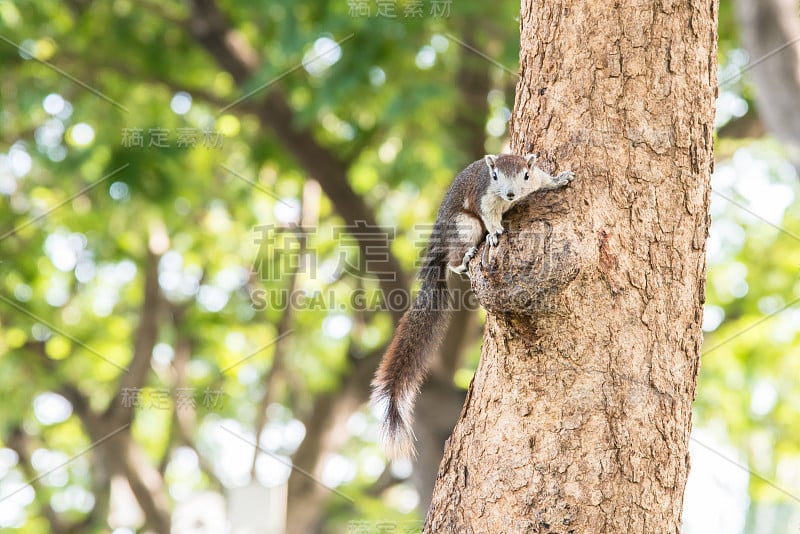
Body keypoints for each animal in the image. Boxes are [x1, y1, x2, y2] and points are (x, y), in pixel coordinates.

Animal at [368, 154, 576, 460]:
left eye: (525, 175)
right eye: (494, 175)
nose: (511, 194)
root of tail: (441, 235)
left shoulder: (535, 177)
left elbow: (546, 180)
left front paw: (561, 179)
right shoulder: (483, 198)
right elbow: (490, 218)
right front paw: (496, 232)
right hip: (463, 225)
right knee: (456, 256)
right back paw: (465, 258)